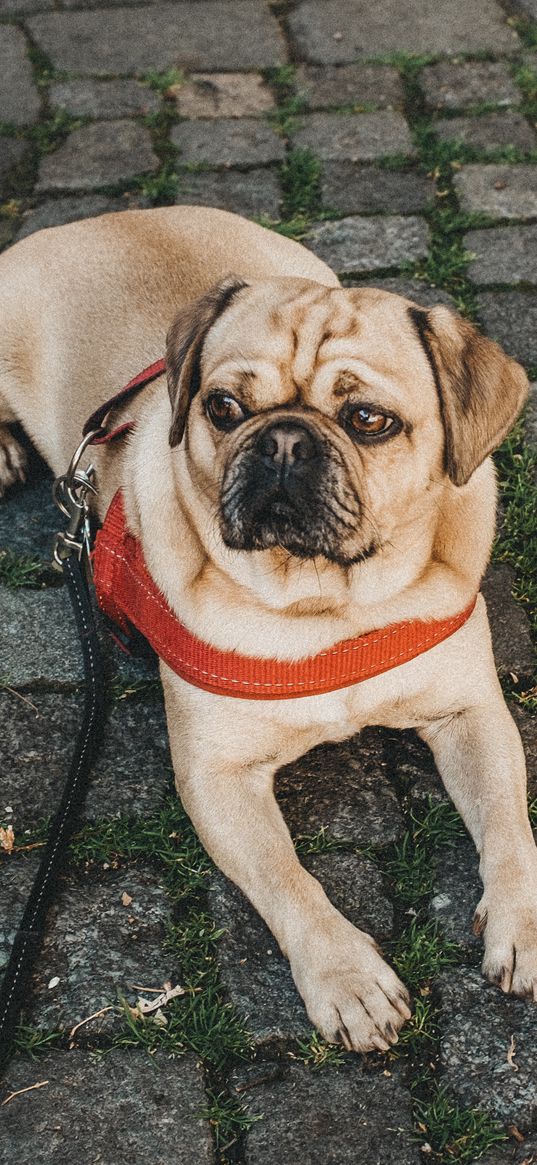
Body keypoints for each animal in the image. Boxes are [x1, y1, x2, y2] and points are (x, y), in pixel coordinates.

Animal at [1, 205, 535, 1053]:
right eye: (222, 408)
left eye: (368, 420)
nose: (284, 438)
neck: (327, 605)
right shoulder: (216, 779)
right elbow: (289, 879)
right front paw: (345, 978)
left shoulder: (469, 713)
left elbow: (510, 825)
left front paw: (523, 921)